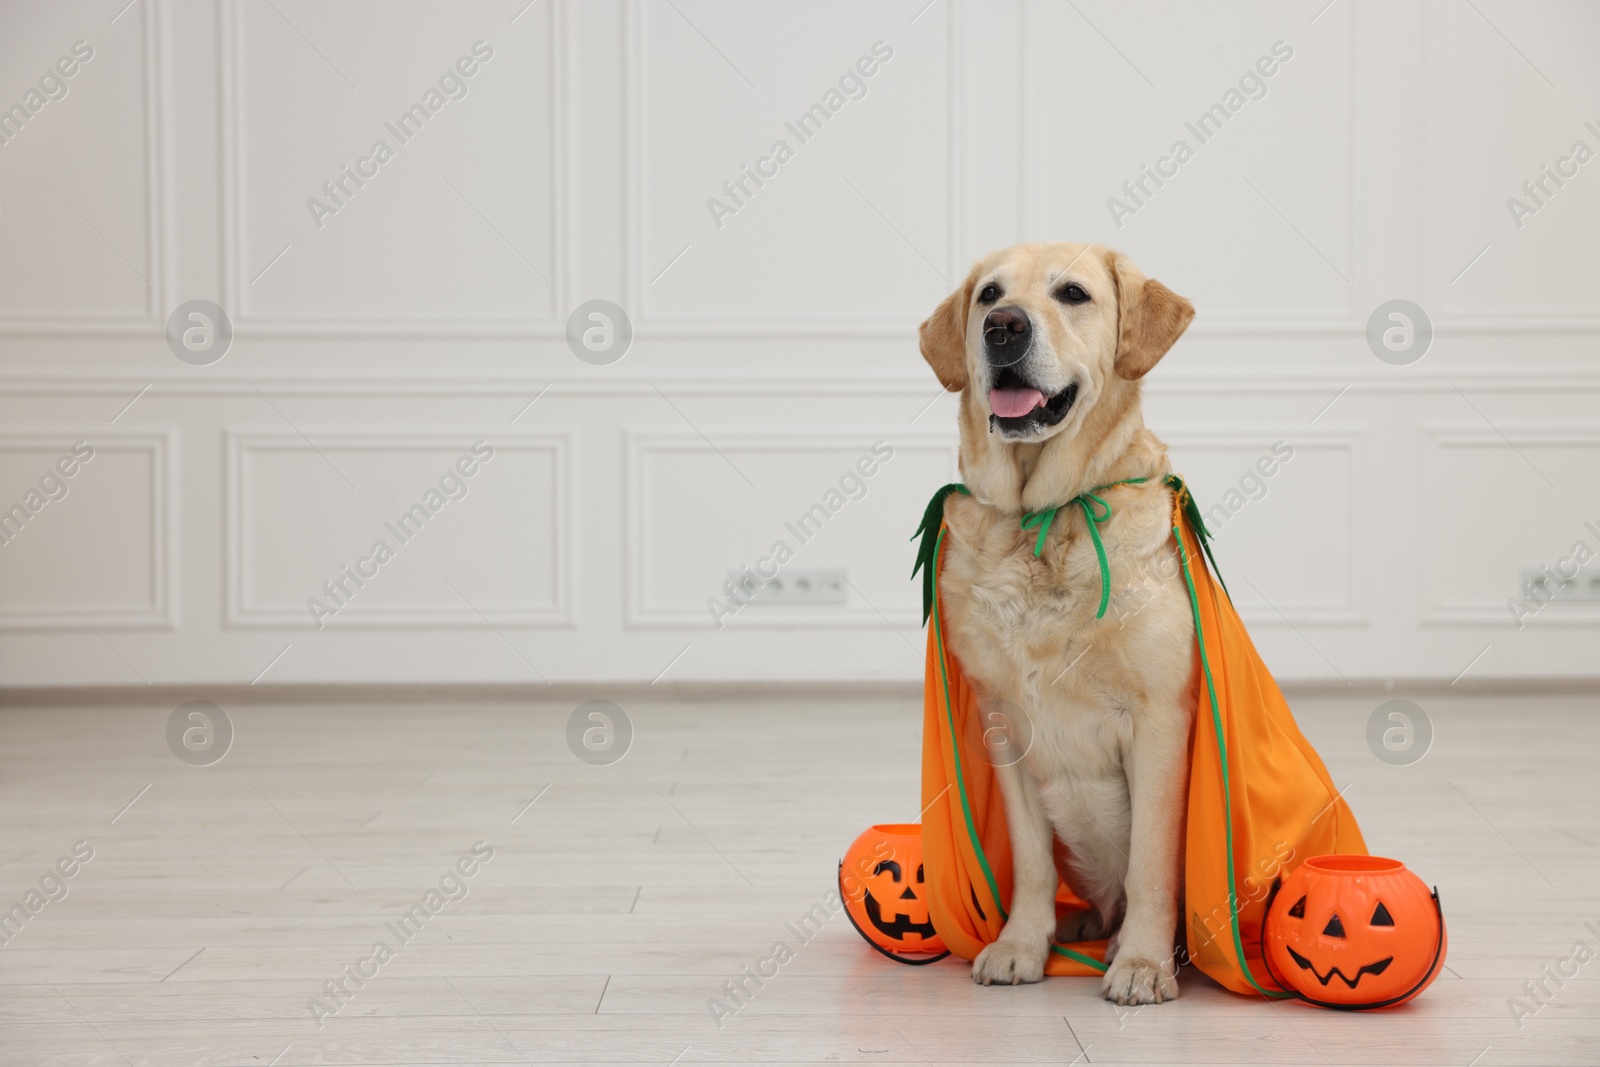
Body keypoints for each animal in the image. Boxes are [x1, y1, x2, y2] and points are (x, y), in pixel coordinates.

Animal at [921, 244, 1196, 1011]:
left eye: (1072, 294)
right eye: (989, 295)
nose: (1004, 328)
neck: (1043, 519)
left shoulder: (1160, 720)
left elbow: (1151, 863)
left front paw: (1142, 962)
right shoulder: (1003, 724)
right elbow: (1032, 859)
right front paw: (1022, 944)